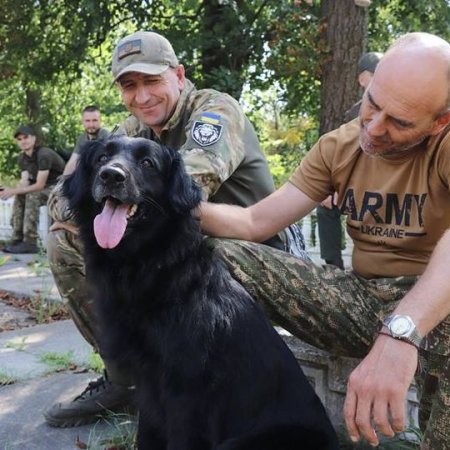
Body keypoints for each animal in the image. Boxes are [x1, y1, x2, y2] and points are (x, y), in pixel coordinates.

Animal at [62, 137, 338, 450]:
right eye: (101, 158)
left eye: (148, 163)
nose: (111, 176)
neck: (149, 264)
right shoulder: (147, 382)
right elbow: (146, 434)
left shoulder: (186, 390)